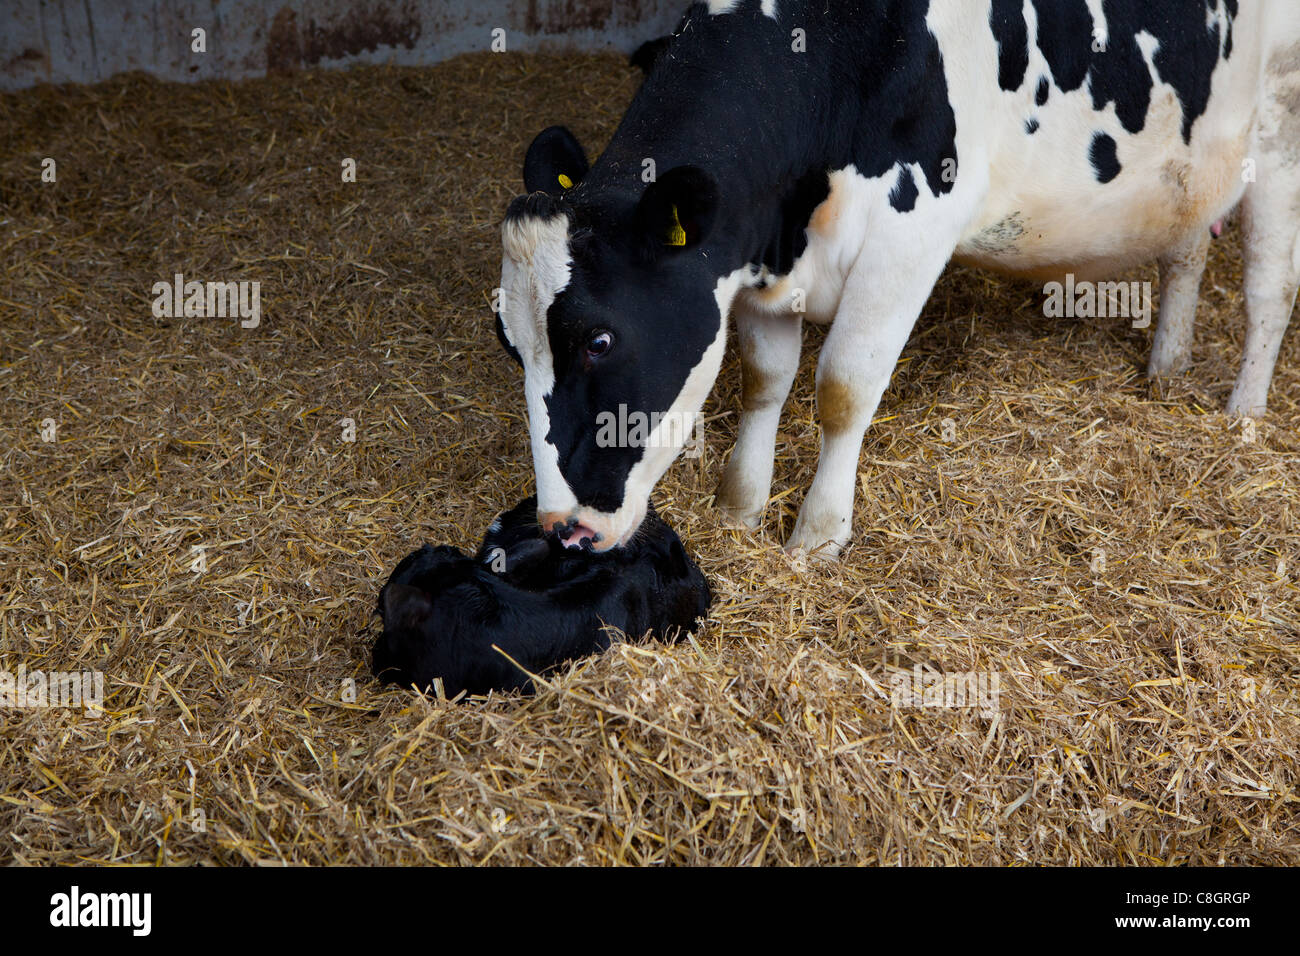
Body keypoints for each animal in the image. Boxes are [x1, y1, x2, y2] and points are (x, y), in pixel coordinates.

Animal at [495, 0, 1300, 559]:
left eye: (600, 339)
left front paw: (816, 536)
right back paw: (1166, 368)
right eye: (511, 343)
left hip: (1280, 132)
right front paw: (740, 507)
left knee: (1269, 291)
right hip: (1194, 166)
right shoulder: (759, 260)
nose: (562, 531)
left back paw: (1243, 418)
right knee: (1186, 252)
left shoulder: (908, 239)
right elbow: (764, 379)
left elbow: (843, 389)